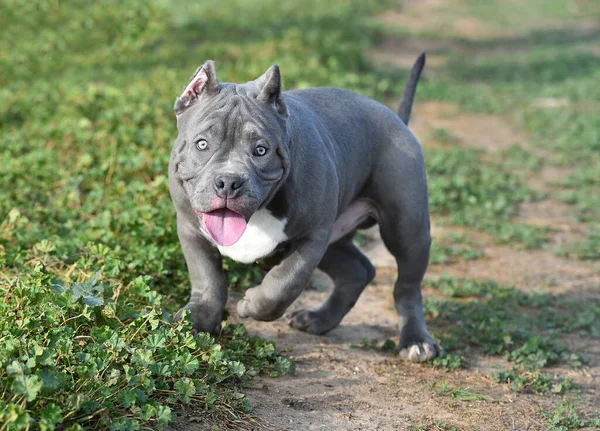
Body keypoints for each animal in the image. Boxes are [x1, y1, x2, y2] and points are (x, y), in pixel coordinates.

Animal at [169, 54, 440, 364]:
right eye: (202, 144)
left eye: (261, 150)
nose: (228, 181)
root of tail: (396, 119)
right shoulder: (190, 229)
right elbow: (207, 277)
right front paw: (197, 319)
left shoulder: (313, 237)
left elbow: (284, 282)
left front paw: (251, 305)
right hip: (337, 238)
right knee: (357, 271)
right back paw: (318, 320)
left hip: (406, 228)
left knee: (407, 286)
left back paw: (416, 341)